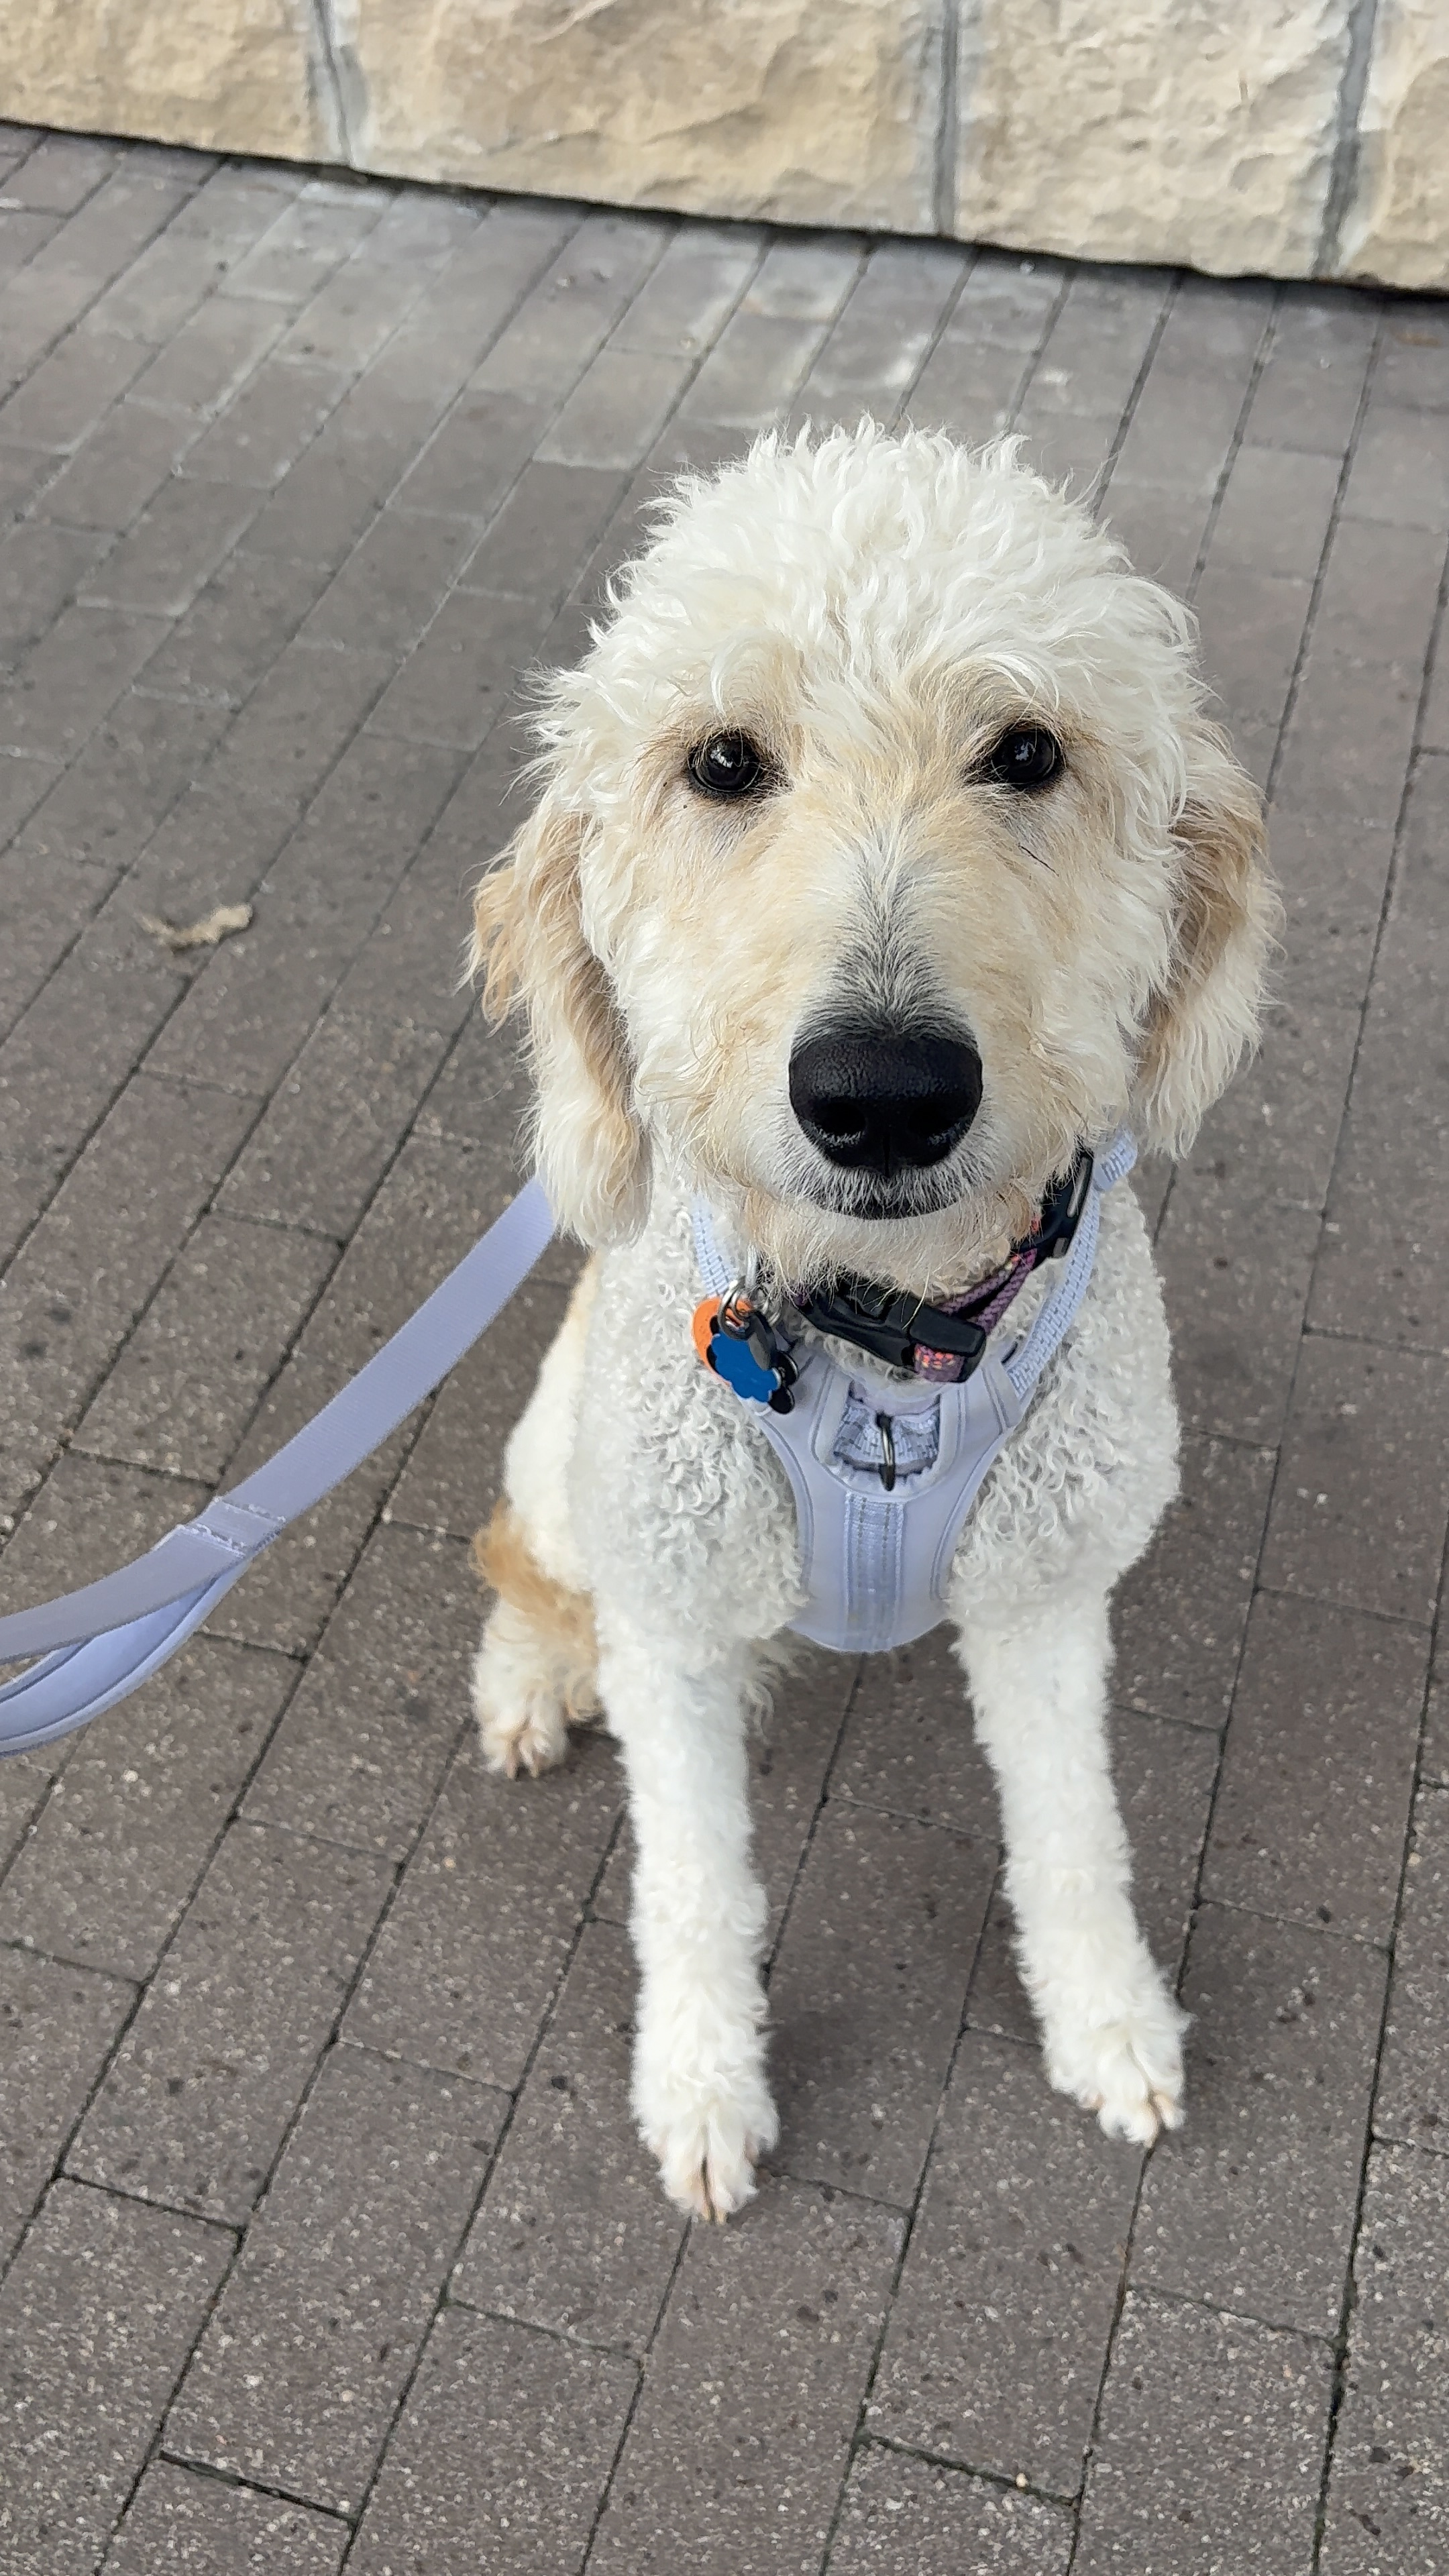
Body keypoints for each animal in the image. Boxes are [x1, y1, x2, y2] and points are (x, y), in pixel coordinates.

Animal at [466, 423, 1274, 2222]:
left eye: (1026, 751)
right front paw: (703, 2087)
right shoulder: (675, 1623)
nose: (883, 1094)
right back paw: (533, 1679)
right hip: (565, 1457)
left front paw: (1110, 2023)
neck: (883, 1342)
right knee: (528, 1566)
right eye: (722, 762)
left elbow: (1075, 1836)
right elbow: (693, 1882)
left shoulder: (1047, 1598)